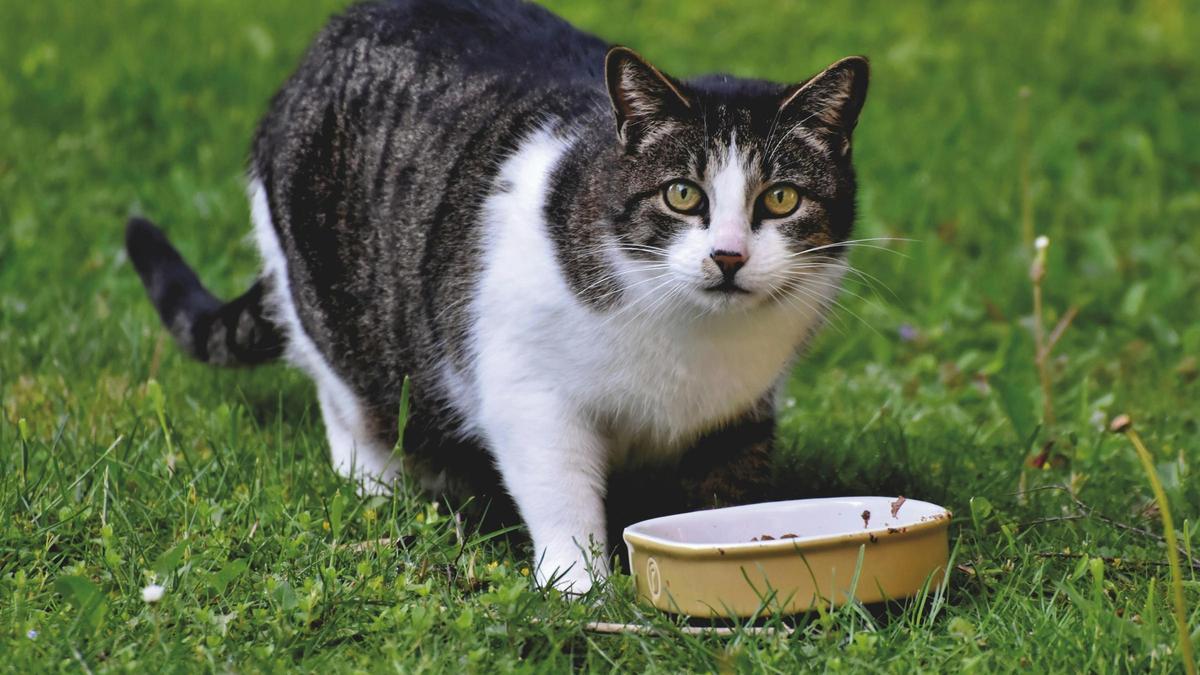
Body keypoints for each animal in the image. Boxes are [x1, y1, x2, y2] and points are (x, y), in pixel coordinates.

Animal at [124, 0, 873, 588]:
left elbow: (723, 498)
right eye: (683, 194)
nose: (728, 256)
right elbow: (561, 493)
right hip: (328, 301)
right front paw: (581, 588)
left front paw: (733, 562)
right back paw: (382, 485)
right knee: (346, 399)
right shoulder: (528, 390)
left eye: (781, 199)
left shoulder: (742, 409)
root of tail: (319, 49)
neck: (693, 338)